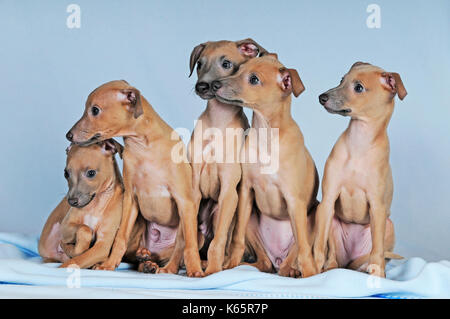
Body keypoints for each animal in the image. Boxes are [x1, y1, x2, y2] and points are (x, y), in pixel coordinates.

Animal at [64, 80, 202, 278]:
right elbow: (120, 237)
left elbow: (187, 244)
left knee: (180, 247)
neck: (143, 147)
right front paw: (108, 264)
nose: (68, 135)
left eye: (95, 110)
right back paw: (145, 260)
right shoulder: (130, 199)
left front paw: (195, 270)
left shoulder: (184, 200)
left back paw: (167, 267)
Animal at [214, 55, 320, 278]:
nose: (215, 84)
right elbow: (236, 239)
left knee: (295, 252)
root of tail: (277, 258)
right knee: (264, 263)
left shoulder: (294, 200)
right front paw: (229, 264)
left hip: (315, 213)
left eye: (254, 79)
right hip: (251, 220)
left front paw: (310, 274)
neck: (266, 134)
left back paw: (292, 270)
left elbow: (304, 247)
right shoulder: (246, 191)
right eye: (238, 69)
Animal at [312, 62, 408, 278]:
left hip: (387, 226)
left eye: (359, 87)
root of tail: (349, 263)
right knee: (332, 256)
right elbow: (319, 246)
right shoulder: (328, 201)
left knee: (375, 254)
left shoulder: (377, 207)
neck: (359, 142)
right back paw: (330, 267)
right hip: (332, 220)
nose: (321, 97)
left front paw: (379, 277)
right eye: (341, 79)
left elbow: (377, 251)